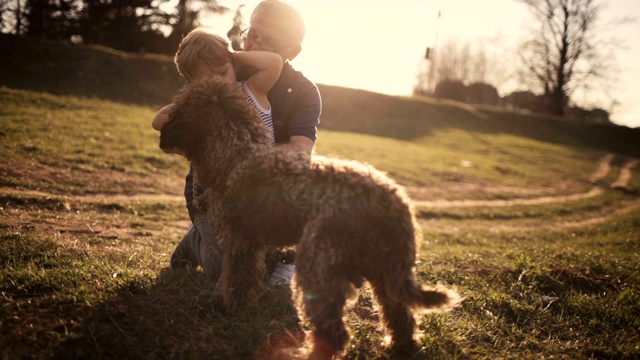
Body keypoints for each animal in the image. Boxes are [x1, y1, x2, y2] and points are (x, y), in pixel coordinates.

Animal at [160, 77, 460, 358]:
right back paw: (401, 346)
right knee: (400, 316)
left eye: (178, 108)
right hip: (385, 270)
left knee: (334, 331)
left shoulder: (239, 243)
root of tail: (393, 199)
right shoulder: (255, 245)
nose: (162, 136)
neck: (236, 154)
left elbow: (236, 280)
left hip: (319, 265)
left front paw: (229, 308)